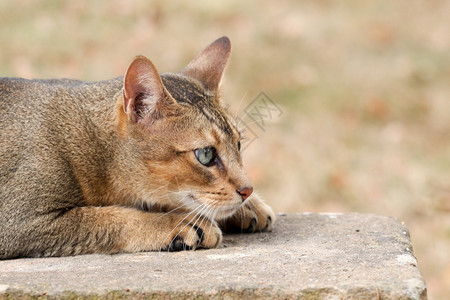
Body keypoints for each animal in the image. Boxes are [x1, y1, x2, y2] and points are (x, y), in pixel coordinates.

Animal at [0, 37, 274, 258]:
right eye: (205, 154)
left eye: (238, 144)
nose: (247, 190)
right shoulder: (18, 221)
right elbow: (104, 217)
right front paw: (177, 224)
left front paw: (248, 208)